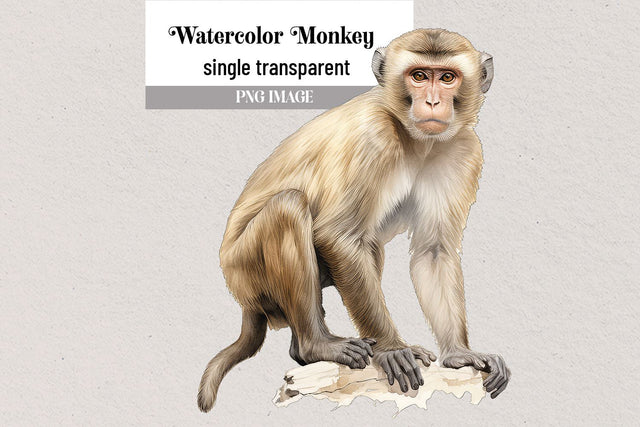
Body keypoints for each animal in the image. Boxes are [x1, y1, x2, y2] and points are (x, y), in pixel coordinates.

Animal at [198, 29, 510, 412]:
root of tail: (243, 300)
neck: (417, 141)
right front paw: (392, 349)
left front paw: (459, 354)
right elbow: (338, 236)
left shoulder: (463, 150)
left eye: (447, 77)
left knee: (370, 243)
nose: (434, 102)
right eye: (419, 76)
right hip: (243, 271)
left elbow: (433, 251)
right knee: (289, 207)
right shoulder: (372, 137)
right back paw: (316, 346)